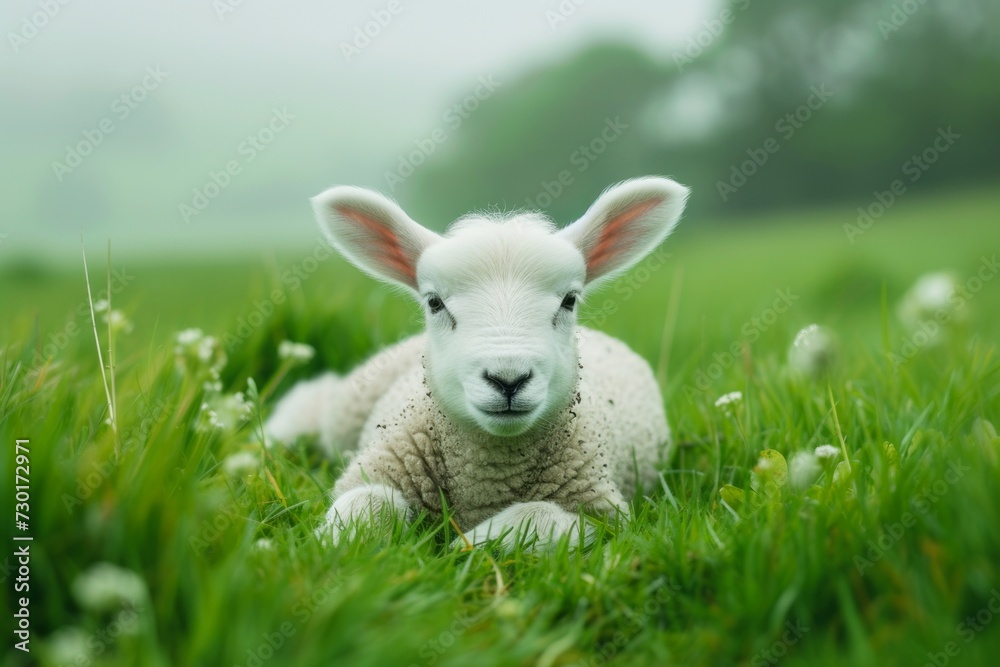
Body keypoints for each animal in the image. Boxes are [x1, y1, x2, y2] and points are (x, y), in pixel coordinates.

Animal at [262, 175, 692, 552]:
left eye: (570, 300)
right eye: (434, 302)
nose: (508, 379)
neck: (485, 482)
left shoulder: (600, 515)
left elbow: (533, 518)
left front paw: (467, 545)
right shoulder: (372, 473)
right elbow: (369, 507)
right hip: (349, 407)